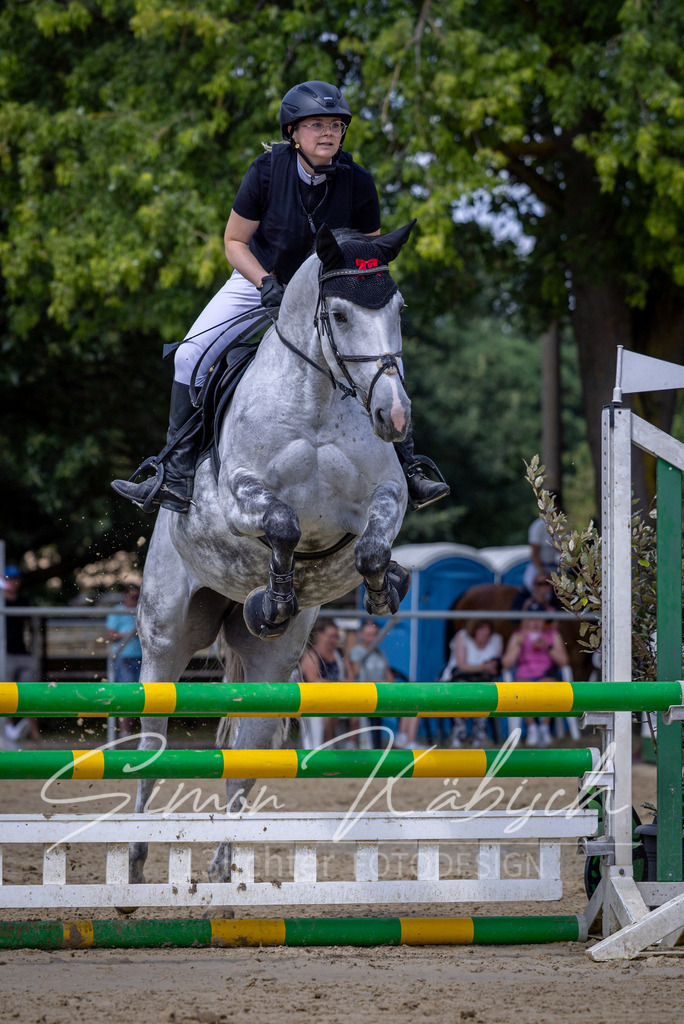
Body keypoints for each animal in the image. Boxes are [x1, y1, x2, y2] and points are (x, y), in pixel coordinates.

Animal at [129, 222, 415, 895]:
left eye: (397, 310)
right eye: (339, 314)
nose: (394, 416)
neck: (317, 401)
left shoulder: (387, 499)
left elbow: (370, 543)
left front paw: (383, 584)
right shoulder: (241, 498)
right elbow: (282, 523)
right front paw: (276, 597)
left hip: (269, 670)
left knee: (243, 760)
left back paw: (221, 869)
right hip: (165, 641)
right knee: (151, 744)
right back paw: (132, 858)